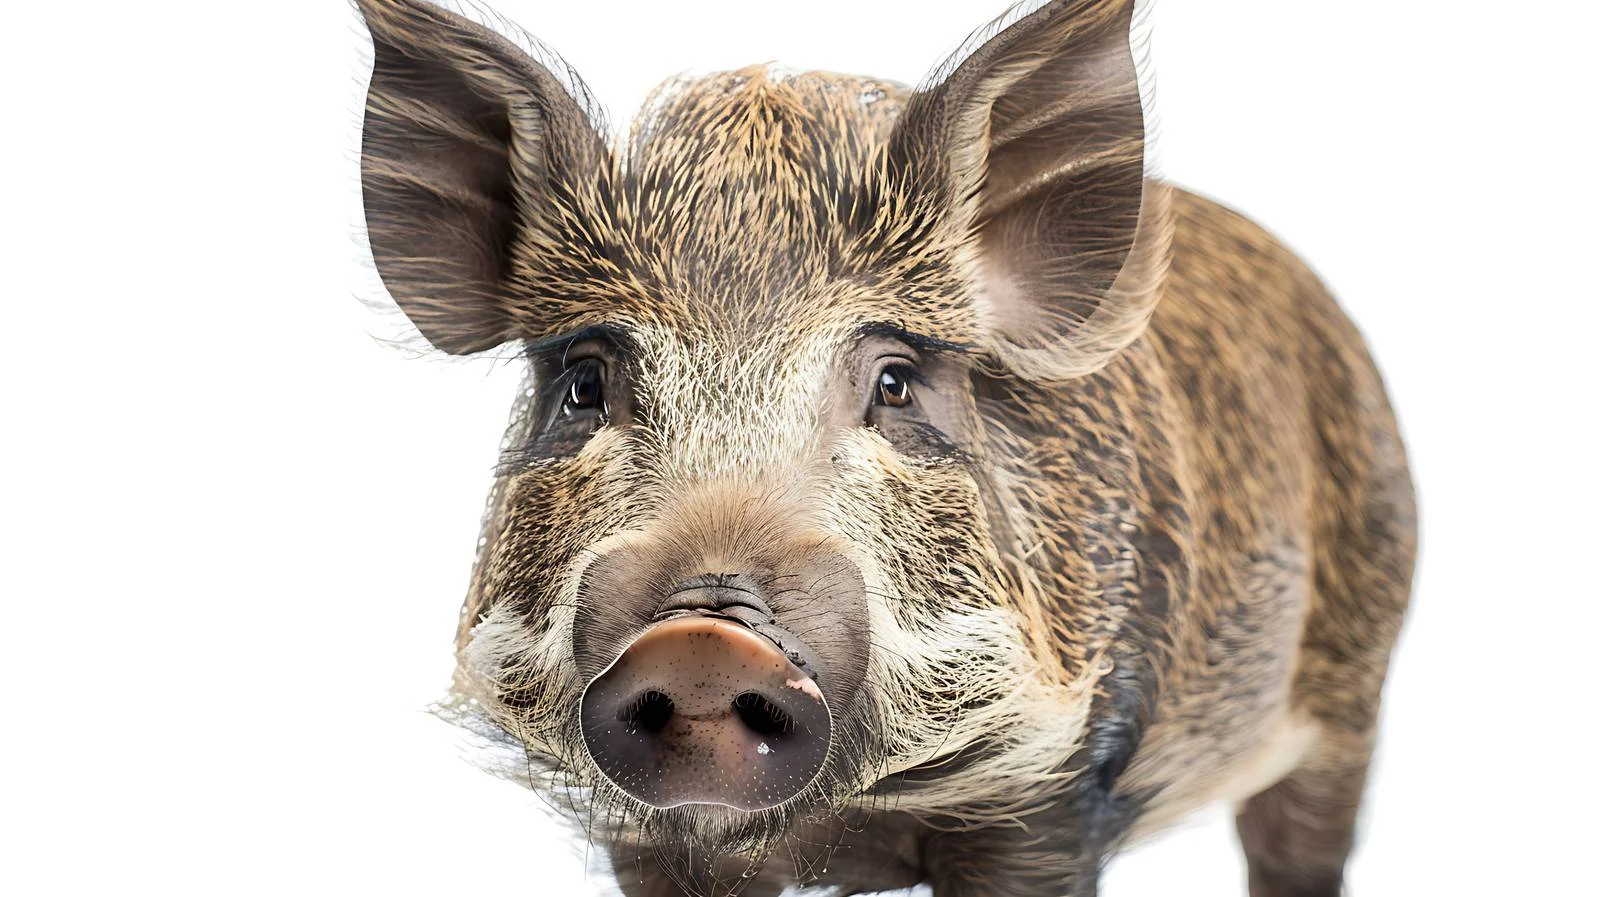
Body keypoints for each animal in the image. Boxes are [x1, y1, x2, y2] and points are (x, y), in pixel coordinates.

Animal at [353, 1, 1417, 895]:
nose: (704, 639)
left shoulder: (1050, 795)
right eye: (585, 383)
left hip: (1359, 677)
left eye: (895, 381)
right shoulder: (650, 841)